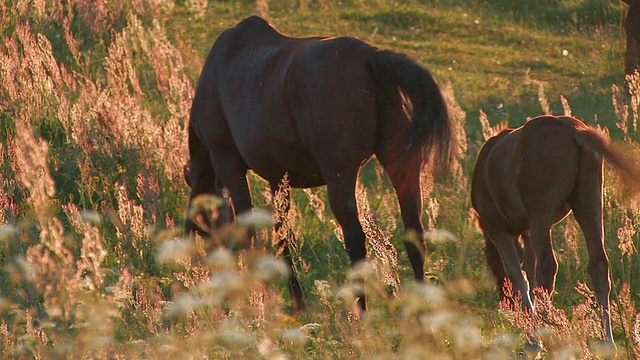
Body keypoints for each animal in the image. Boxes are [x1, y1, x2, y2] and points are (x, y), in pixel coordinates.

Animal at [184, 15, 456, 310]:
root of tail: (371, 58)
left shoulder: (228, 163)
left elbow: (249, 232)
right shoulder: (277, 179)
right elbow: (282, 237)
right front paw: (297, 302)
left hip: (340, 175)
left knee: (355, 238)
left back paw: (361, 309)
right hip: (401, 167)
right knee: (414, 233)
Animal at [470, 115, 640, 352]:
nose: (507, 304)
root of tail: (575, 130)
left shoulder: (498, 229)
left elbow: (519, 276)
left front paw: (532, 335)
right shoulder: (527, 232)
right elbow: (529, 274)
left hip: (541, 214)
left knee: (548, 269)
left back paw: (536, 342)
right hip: (589, 203)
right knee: (598, 265)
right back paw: (607, 342)